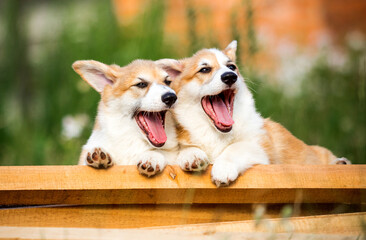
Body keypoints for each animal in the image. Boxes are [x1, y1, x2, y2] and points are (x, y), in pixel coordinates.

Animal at [157, 40, 348, 188]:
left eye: (232, 67)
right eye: (204, 69)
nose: (230, 76)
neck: (216, 133)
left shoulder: (260, 148)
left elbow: (235, 148)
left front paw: (223, 169)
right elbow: (188, 148)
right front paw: (193, 156)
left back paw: (341, 162)